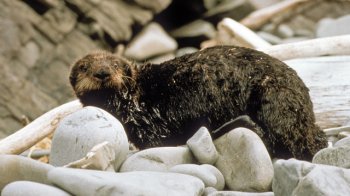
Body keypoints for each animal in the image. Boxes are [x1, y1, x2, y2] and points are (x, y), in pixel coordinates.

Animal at [69, 46, 326, 161]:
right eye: (84, 67)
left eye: (115, 65)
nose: (102, 72)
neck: (134, 97)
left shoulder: (148, 121)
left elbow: (156, 141)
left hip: (274, 98)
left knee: (281, 141)